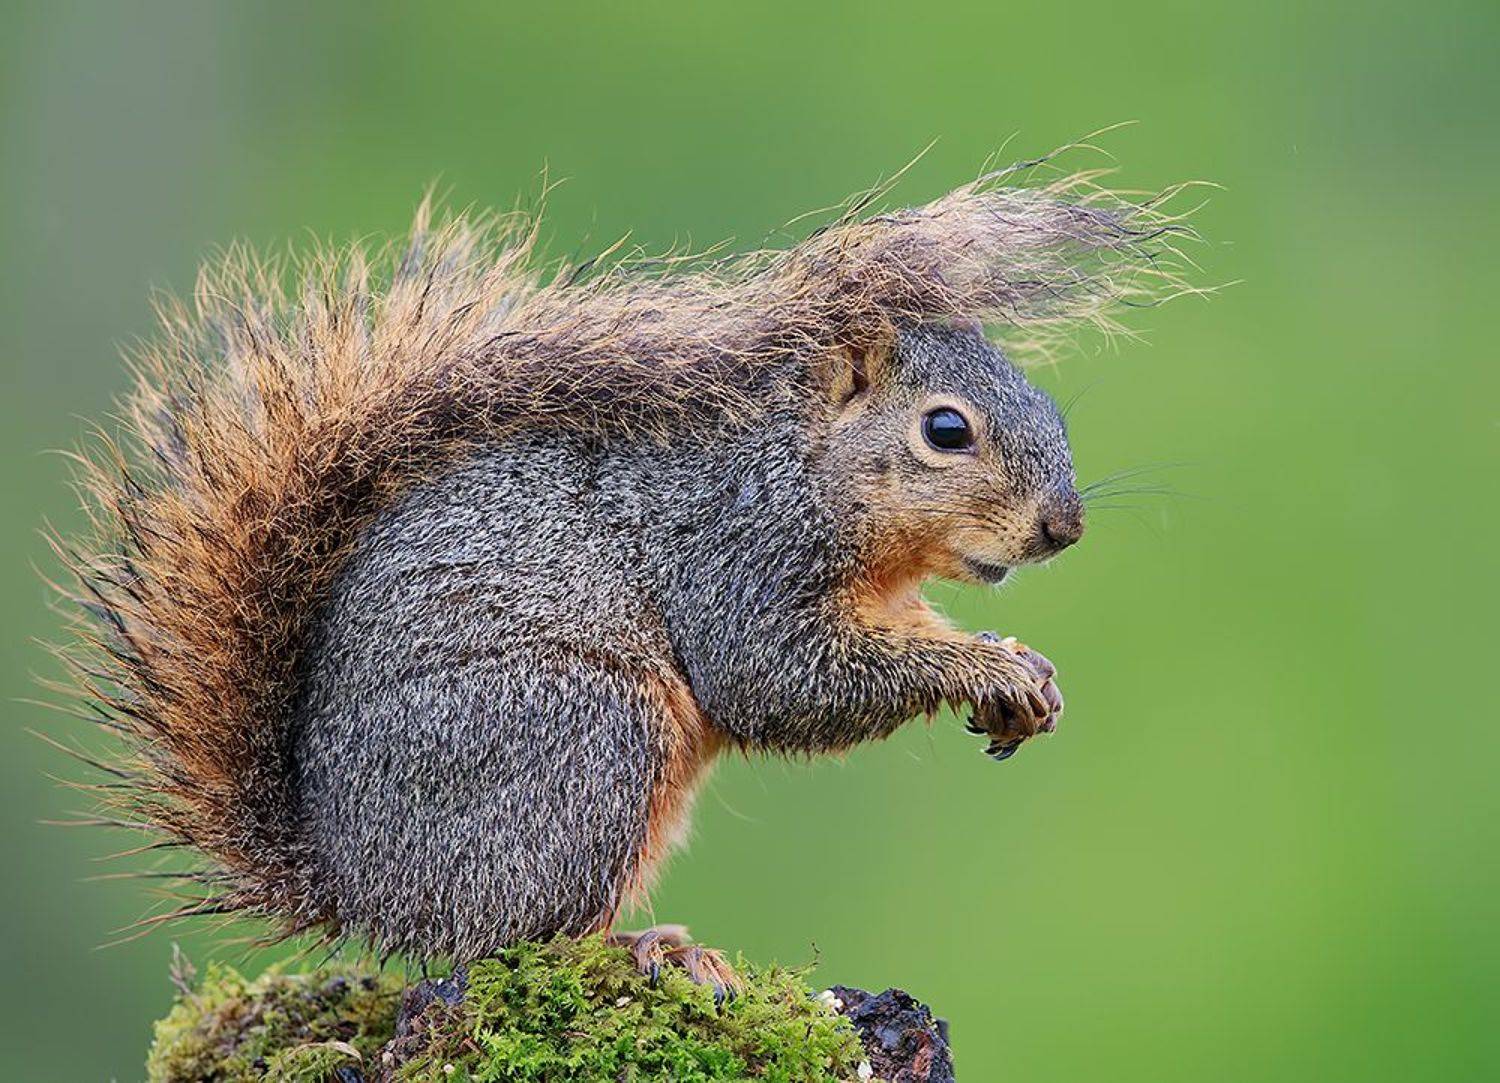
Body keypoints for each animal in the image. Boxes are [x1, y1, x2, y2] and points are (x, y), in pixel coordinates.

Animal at [47, 159, 1184, 990]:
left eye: (1052, 408)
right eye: (947, 431)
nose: (1064, 527)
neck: (809, 470)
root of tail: (358, 884)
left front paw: (1021, 671)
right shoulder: (739, 558)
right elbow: (777, 679)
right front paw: (984, 670)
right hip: (581, 733)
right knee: (510, 934)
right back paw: (646, 949)